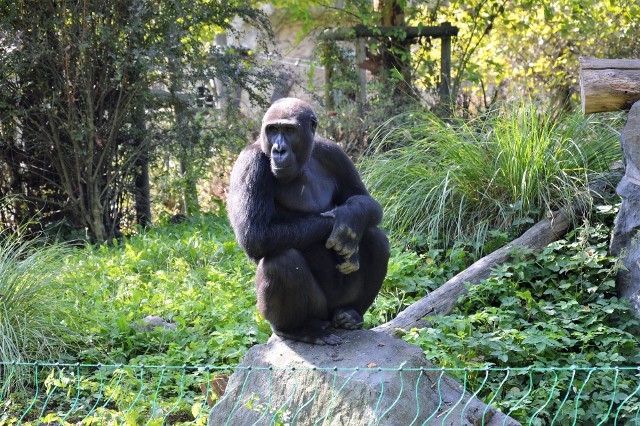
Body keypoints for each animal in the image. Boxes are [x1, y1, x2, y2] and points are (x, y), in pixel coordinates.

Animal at [230, 98, 390, 344]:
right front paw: (342, 224)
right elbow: (255, 236)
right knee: (281, 260)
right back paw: (298, 329)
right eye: (272, 130)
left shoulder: (334, 152)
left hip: (339, 305)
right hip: (317, 311)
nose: (279, 150)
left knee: (374, 235)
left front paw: (351, 216)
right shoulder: (249, 163)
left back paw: (351, 314)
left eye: (288, 130)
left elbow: (366, 201)